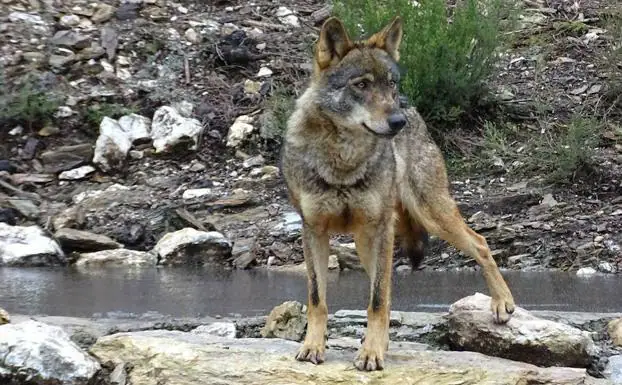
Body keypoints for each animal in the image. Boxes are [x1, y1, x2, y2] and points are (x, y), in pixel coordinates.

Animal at [282, 14, 516, 368]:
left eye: (390, 84)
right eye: (362, 85)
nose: (397, 121)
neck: (344, 162)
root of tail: (412, 109)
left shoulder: (381, 227)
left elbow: (376, 300)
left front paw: (371, 353)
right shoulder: (313, 231)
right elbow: (317, 298)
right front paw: (313, 347)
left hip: (427, 216)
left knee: (479, 243)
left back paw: (502, 302)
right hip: (368, 242)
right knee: (389, 292)